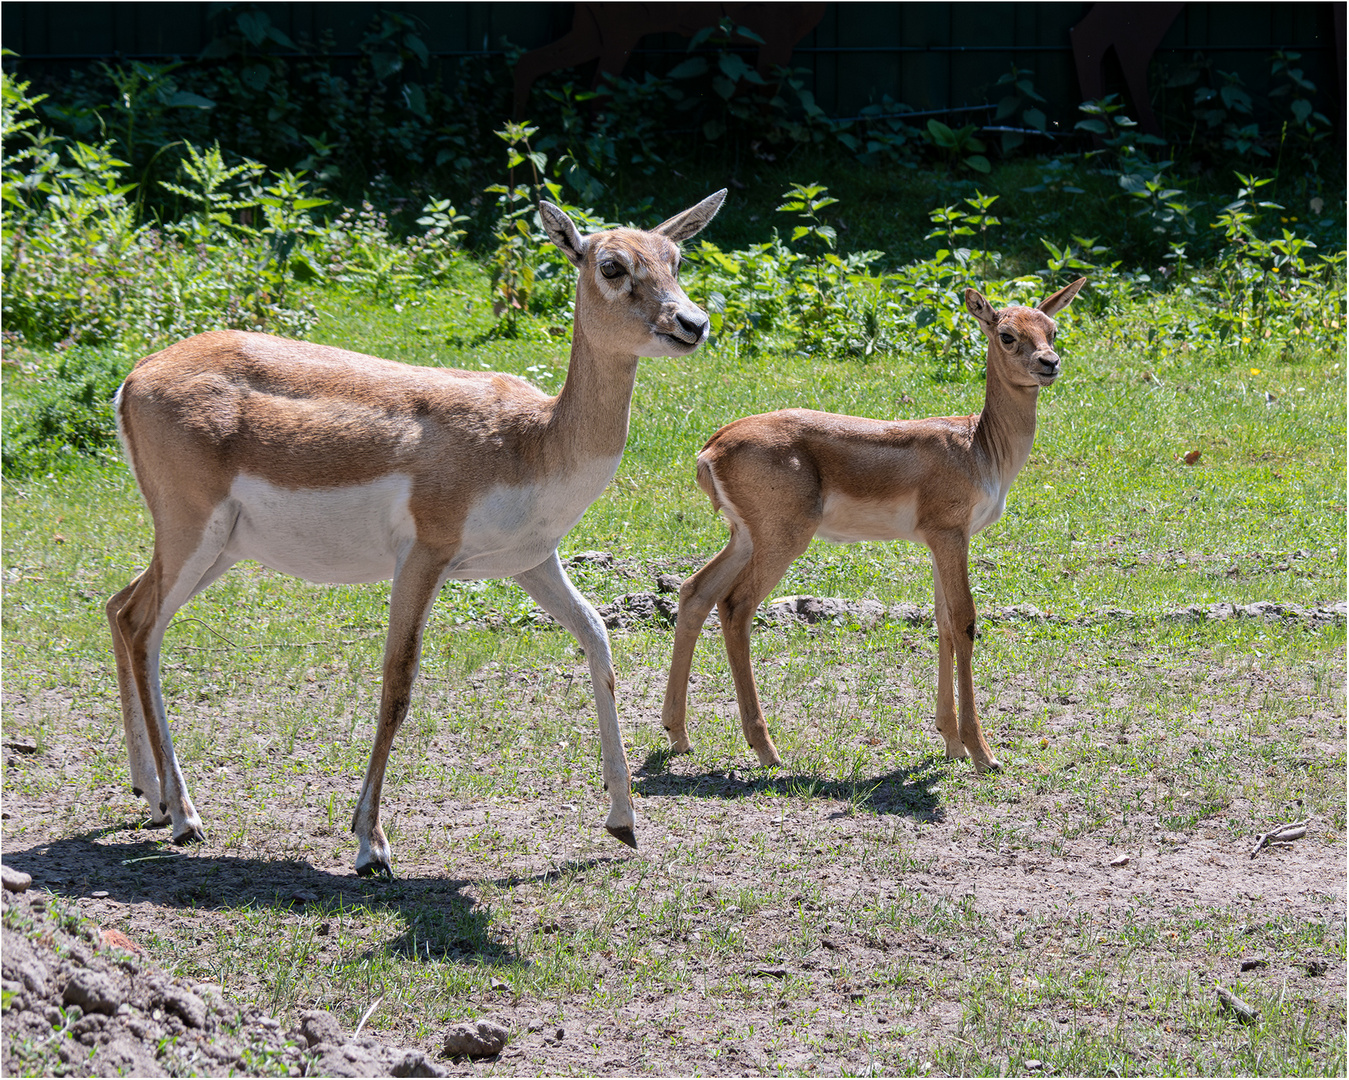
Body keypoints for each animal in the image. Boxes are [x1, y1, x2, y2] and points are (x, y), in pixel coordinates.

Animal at [107, 187, 728, 873]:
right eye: (611, 265)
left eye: (676, 257)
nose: (692, 323)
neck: (532, 441)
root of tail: (134, 378)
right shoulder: (425, 555)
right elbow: (398, 683)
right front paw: (370, 845)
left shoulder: (531, 561)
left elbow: (598, 641)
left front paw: (623, 823)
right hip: (192, 531)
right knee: (141, 625)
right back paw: (184, 816)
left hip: (218, 548)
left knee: (120, 607)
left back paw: (152, 796)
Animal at [658, 273, 1089, 771]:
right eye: (1006, 334)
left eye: (1052, 329)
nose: (1049, 363)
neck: (979, 445)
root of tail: (711, 447)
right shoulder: (950, 534)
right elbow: (965, 619)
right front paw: (982, 753)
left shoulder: (937, 542)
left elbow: (942, 621)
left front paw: (950, 742)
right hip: (783, 538)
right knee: (736, 606)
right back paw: (766, 749)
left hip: (746, 535)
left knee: (695, 592)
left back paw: (679, 735)